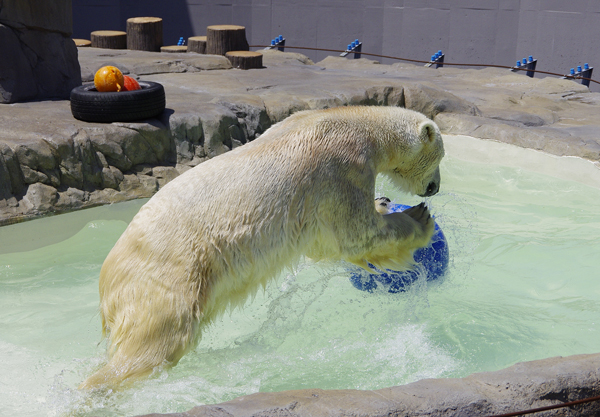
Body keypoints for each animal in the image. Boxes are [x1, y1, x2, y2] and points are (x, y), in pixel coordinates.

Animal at [79, 105, 442, 388]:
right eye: (439, 158)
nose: (435, 188)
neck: (355, 123)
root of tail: (105, 282)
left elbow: (327, 245)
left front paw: (383, 202)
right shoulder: (342, 168)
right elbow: (358, 233)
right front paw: (419, 218)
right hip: (167, 277)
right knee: (155, 339)